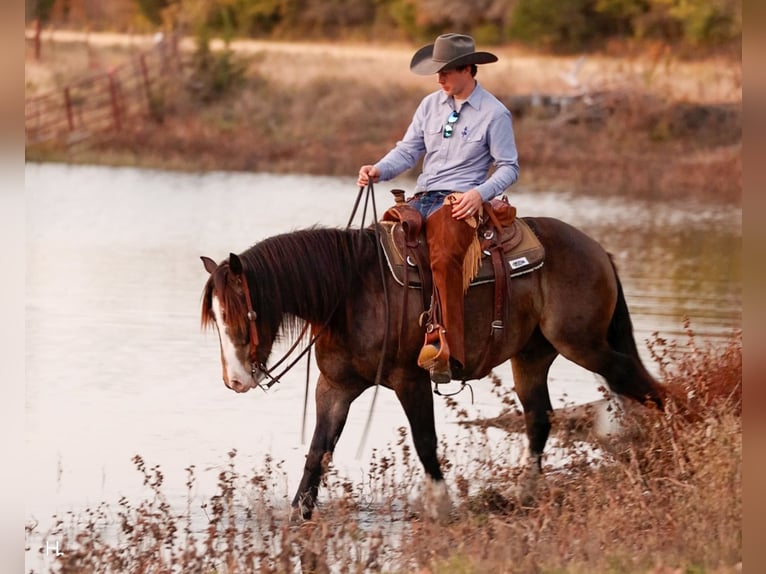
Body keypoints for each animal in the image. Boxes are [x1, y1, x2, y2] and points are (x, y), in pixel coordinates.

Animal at [200, 217, 664, 520]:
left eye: (244, 314)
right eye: (217, 320)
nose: (235, 381)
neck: (352, 291)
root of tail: (596, 249)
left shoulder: (411, 381)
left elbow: (425, 442)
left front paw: (441, 507)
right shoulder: (334, 387)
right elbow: (318, 449)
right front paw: (299, 512)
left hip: (581, 344)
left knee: (637, 382)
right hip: (532, 356)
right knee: (539, 419)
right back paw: (526, 494)